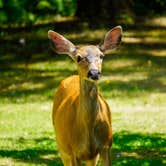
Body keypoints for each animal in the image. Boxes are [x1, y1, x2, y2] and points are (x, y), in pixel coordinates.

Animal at [47, 25, 122, 165]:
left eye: (101, 56)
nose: (94, 73)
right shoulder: (72, 150)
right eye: (78, 57)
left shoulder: (106, 146)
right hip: (62, 147)